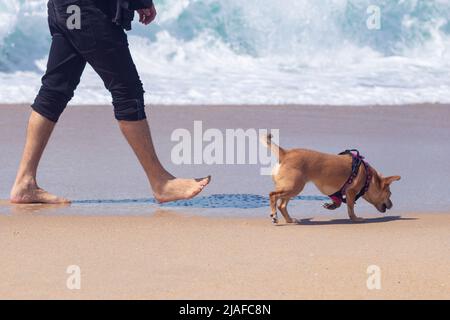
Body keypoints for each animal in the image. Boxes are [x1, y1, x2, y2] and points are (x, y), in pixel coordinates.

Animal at [262, 134, 402, 224]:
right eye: (389, 194)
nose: (392, 205)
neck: (368, 178)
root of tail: (285, 154)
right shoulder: (351, 192)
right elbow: (351, 208)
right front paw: (355, 219)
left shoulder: (336, 193)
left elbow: (338, 202)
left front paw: (331, 206)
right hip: (293, 187)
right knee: (273, 195)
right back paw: (274, 215)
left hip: (292, 189)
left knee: (282, 205)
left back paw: (290, 220)